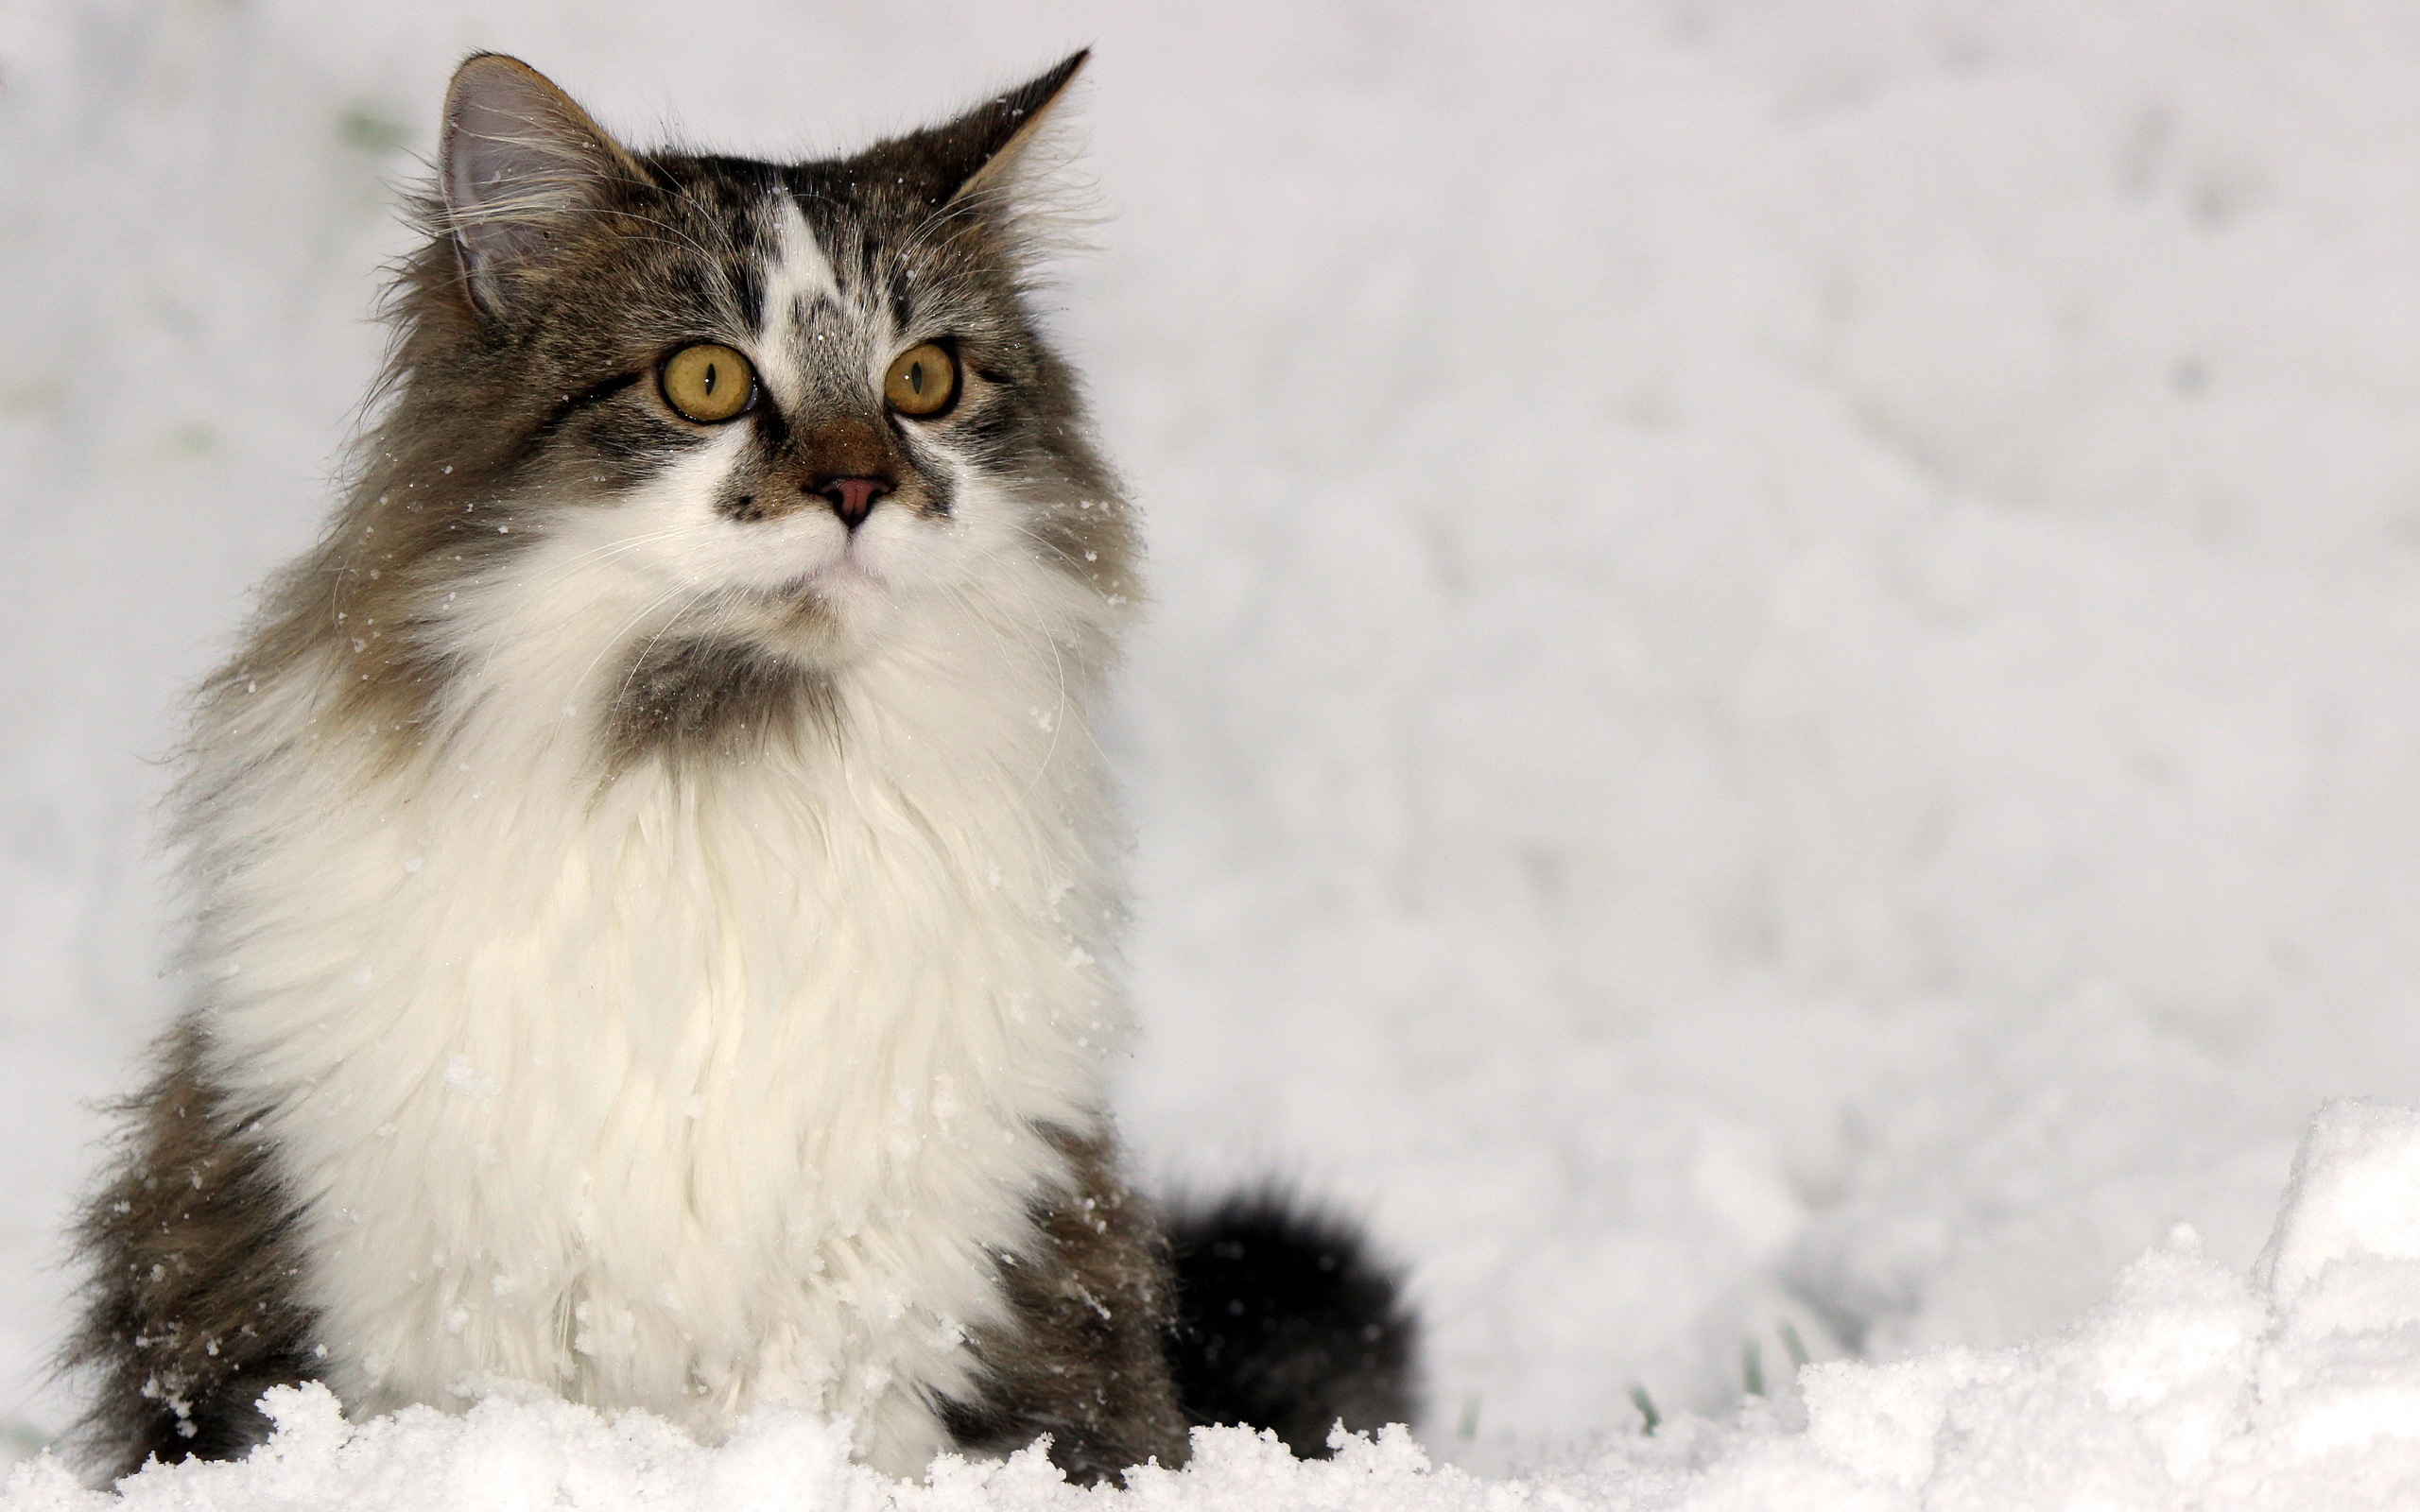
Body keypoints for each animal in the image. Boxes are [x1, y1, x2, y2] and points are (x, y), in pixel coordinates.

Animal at [60, 50, 1413, 1489]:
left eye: (924, 380)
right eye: (707, 381)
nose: (861, 490)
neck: (722, 755)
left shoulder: (913, 1250)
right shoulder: (418, 1258)